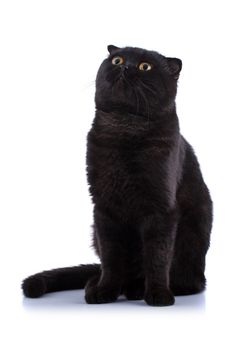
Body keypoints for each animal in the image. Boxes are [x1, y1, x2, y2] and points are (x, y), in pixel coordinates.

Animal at [22, 45, 213, 304]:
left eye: (145, 66)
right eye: (117, 59)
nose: (125, 67)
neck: (125, 129)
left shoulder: (161, 210)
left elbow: (157, 256)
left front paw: (158, 295)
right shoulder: (104, 209)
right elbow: (111, 259)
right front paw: (104, 292)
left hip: (192, 240)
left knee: (189, 280)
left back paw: (140, 289)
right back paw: (101, 285)